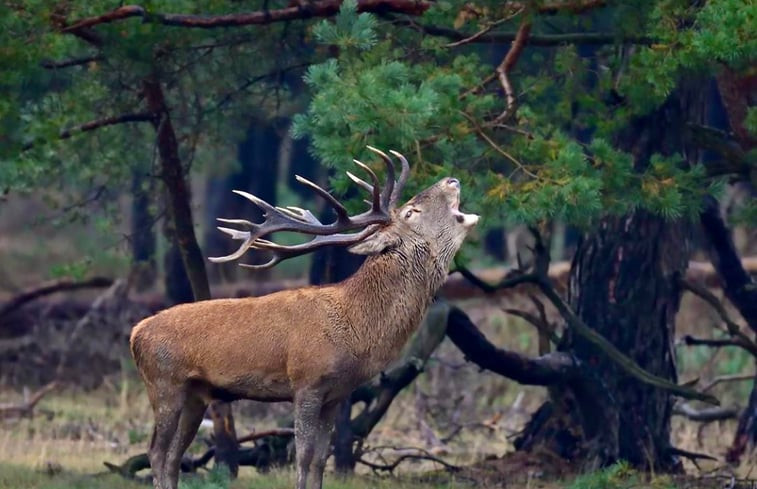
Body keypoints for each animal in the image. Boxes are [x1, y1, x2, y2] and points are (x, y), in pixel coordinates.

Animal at [127, 146, 476, 488]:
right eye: (410, 212)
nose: (451, 180)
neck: (358, 329)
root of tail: (135, 333)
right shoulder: (307, 382)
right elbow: (304, 457)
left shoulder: (337, 394)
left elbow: (321, 460)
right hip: (164, 383)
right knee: (157, 452)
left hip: (196, 394)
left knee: (174, 457)